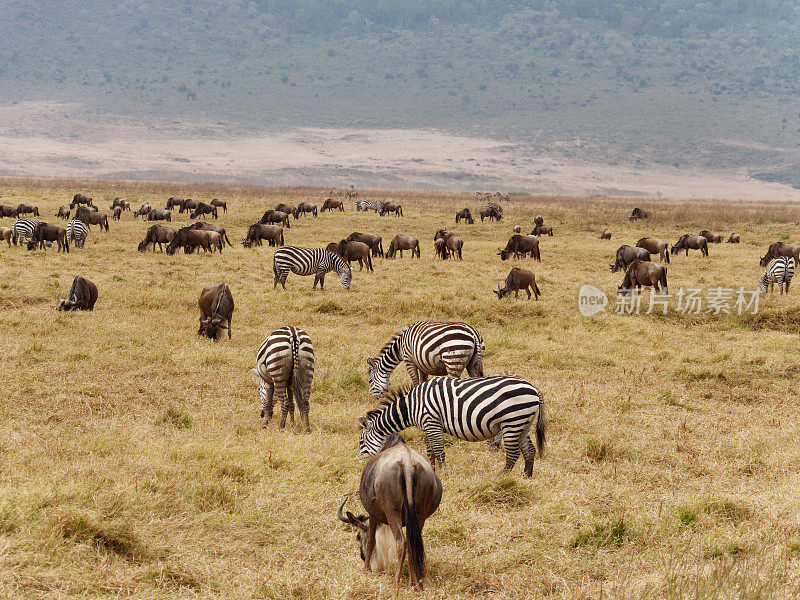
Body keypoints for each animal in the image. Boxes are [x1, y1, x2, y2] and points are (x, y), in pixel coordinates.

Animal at [360, 376, 548, 478]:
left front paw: (443, 473)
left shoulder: (432, 421)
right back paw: (526, 477)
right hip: (523, 423)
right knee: (529, 450)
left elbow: (439, 450)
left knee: (513, 454)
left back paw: (502, 477)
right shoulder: (428, 426)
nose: (360, 464)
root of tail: (534, 389)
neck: (413, 406)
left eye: (361, 442)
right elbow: (430, 451)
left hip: (512, 422)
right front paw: (431, 470)